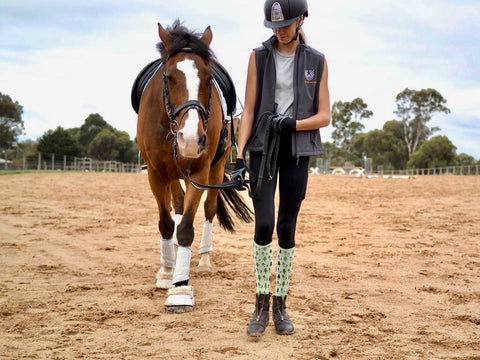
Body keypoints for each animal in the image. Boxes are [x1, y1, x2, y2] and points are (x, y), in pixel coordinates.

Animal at [135, 20, 251, 312]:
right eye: (168, 77)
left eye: (209, 78)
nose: (190, 139)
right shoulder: (156, 174)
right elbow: (167, 224)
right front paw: (167, 273)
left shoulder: (199, 172)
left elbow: (186, 228)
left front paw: (180, 289)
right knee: (176, 205)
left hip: (215, 169)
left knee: (209, 209)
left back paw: (204, 262)